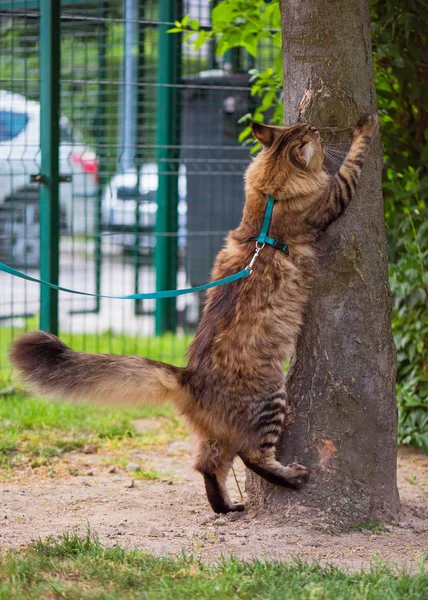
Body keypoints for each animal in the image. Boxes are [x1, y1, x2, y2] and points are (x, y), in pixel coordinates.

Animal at [9, 113, 378, 516]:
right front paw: (367, 126)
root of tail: (189, 377)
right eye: (312, 134)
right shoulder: (332, 197)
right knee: (252, 457)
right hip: (271, 399)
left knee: (207, 466)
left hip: (216, 435)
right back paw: (290, 477)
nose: (315, 127)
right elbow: (352, 164)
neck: (268, 198)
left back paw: (226, 506)